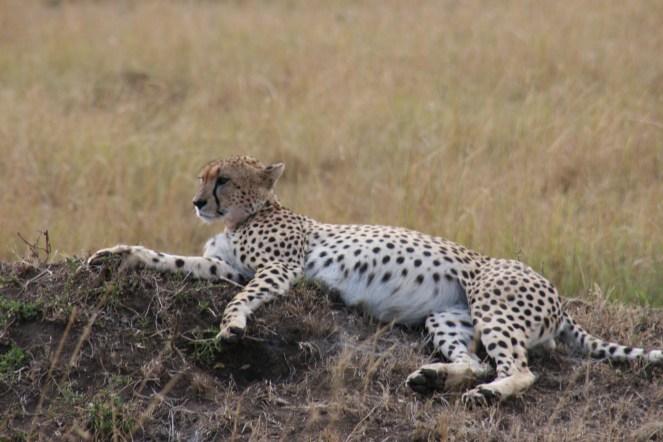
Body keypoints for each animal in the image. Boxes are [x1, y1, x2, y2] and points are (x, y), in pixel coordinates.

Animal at [88, 155, 662, 406]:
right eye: (202, 177)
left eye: (223, 179)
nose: (197, 202)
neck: (245, 216)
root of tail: (560, 299)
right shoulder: (226, 266)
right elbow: (167, 259)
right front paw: (116, 254)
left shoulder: (276, 270)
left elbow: (242, 299)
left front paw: (231, 328)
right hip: (447, 316)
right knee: (476, 361)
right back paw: (434, 379)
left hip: (493, 300)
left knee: (520, 371)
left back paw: (488, 395)